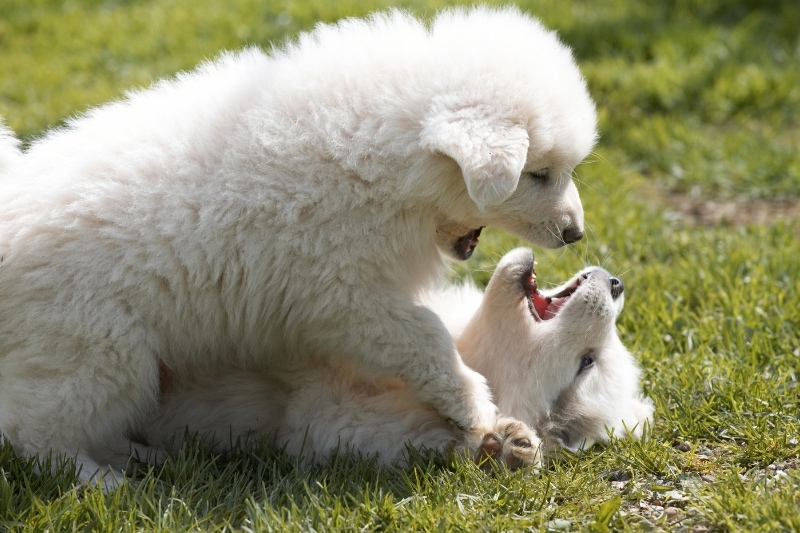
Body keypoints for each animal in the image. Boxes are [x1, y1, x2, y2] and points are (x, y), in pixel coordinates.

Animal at [0, 5, 596, 486]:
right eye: (539, 175)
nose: (575, 234)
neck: (389, 156)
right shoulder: (343, 296)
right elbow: (424, 338)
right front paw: (474, 405)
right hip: (98, 353)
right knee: (35, 434)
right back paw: (99, 481)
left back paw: (145, 457)